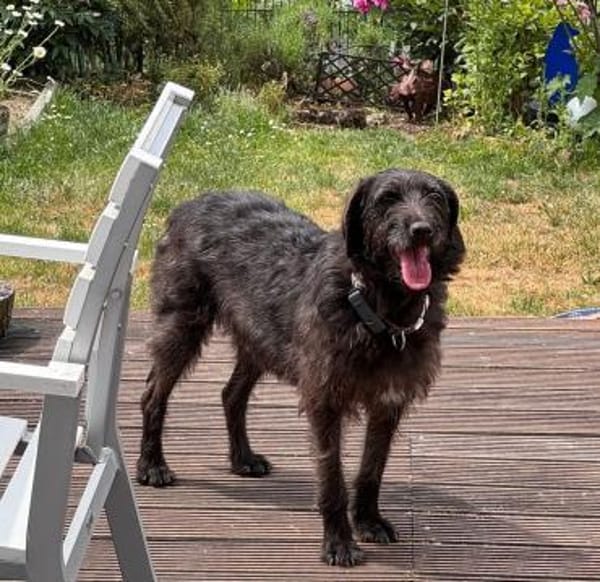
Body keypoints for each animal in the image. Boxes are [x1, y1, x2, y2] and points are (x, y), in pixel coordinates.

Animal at [137, 169, 465, 567]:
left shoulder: (387, 401)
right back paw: (151, 465)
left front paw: (368, 521)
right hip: (182, 324)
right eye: (388, 198)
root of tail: (189, 204)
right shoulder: (325, 401)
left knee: (231, 394)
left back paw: (242, 458)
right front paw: (339, 543)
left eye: (435, 197)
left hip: (259, 338)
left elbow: (372, 469)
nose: (421, 230)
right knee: (153, 394)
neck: (378, 307)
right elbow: (332, 477)